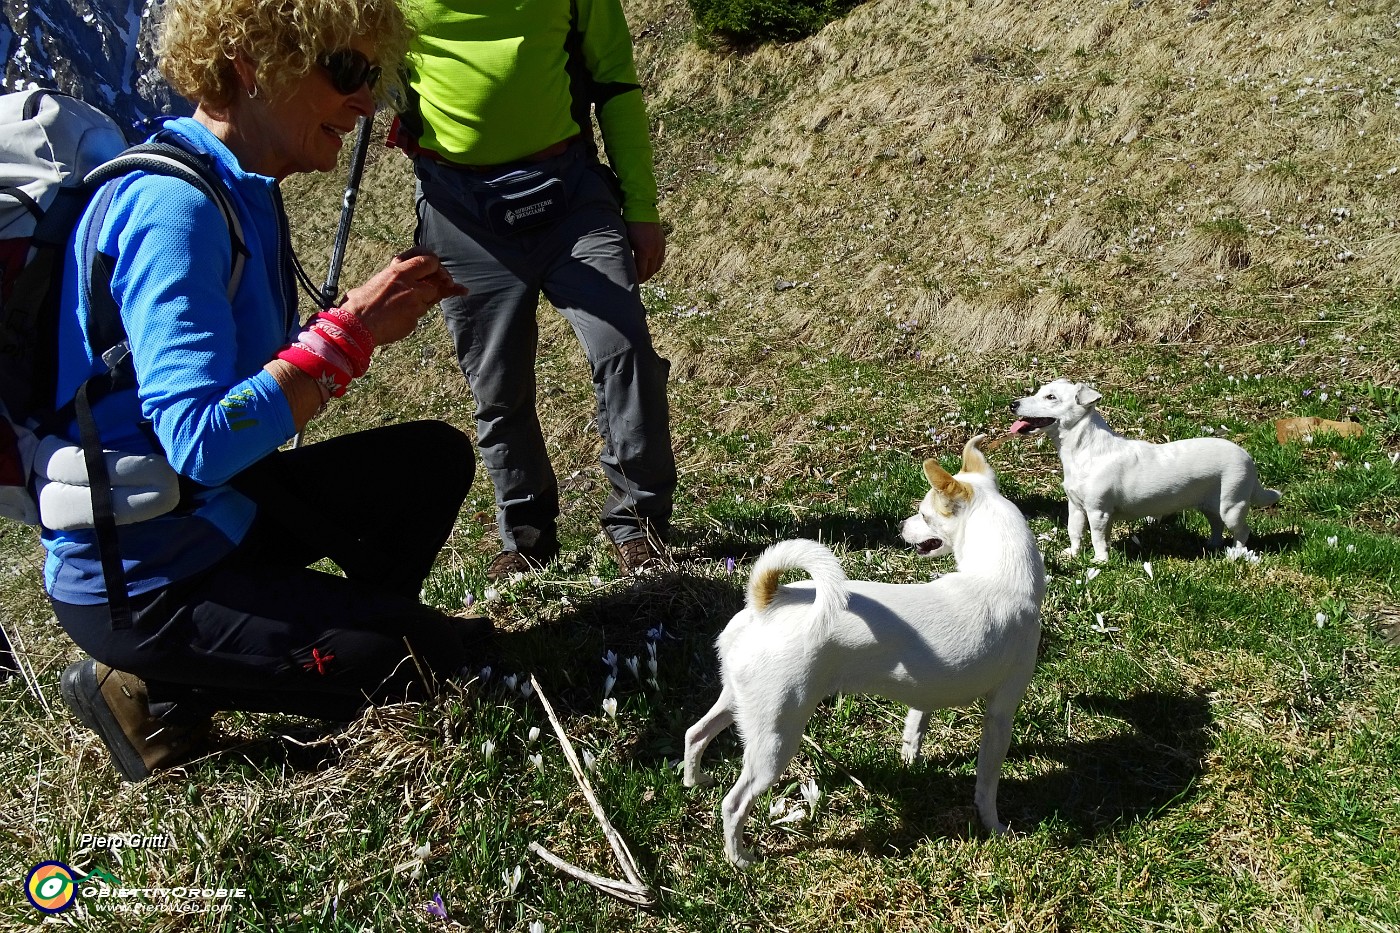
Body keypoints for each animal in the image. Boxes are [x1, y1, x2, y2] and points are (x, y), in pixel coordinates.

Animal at [683, 437, 1047, 862]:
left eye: (923, 515)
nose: (901, 525)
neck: (999, 577)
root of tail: (767, 602)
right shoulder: (1001, 713)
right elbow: (988, 782)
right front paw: (995, 826)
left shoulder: (925, 694)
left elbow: (915, 726)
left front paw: (910, 760)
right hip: (775, 738)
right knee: (734, 802)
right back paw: (740, 858)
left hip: (740, 703)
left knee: (695, 734)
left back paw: (695, 781)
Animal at [1008, 375, 1282, 560]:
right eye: (1040, 391)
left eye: (1051, 397)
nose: (1013, 403)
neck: (1084, 451)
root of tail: (1247, 456)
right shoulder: (1076, 506)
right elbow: (1074, 531)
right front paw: (1073, 554)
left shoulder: (1098, 512)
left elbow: (1097, 538)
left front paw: (1100, 561)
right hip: (1210, 505)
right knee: (1216, 524)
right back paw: (1212, 545)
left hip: (1232, 505)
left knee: (1242, 531)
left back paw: (1236, 554)